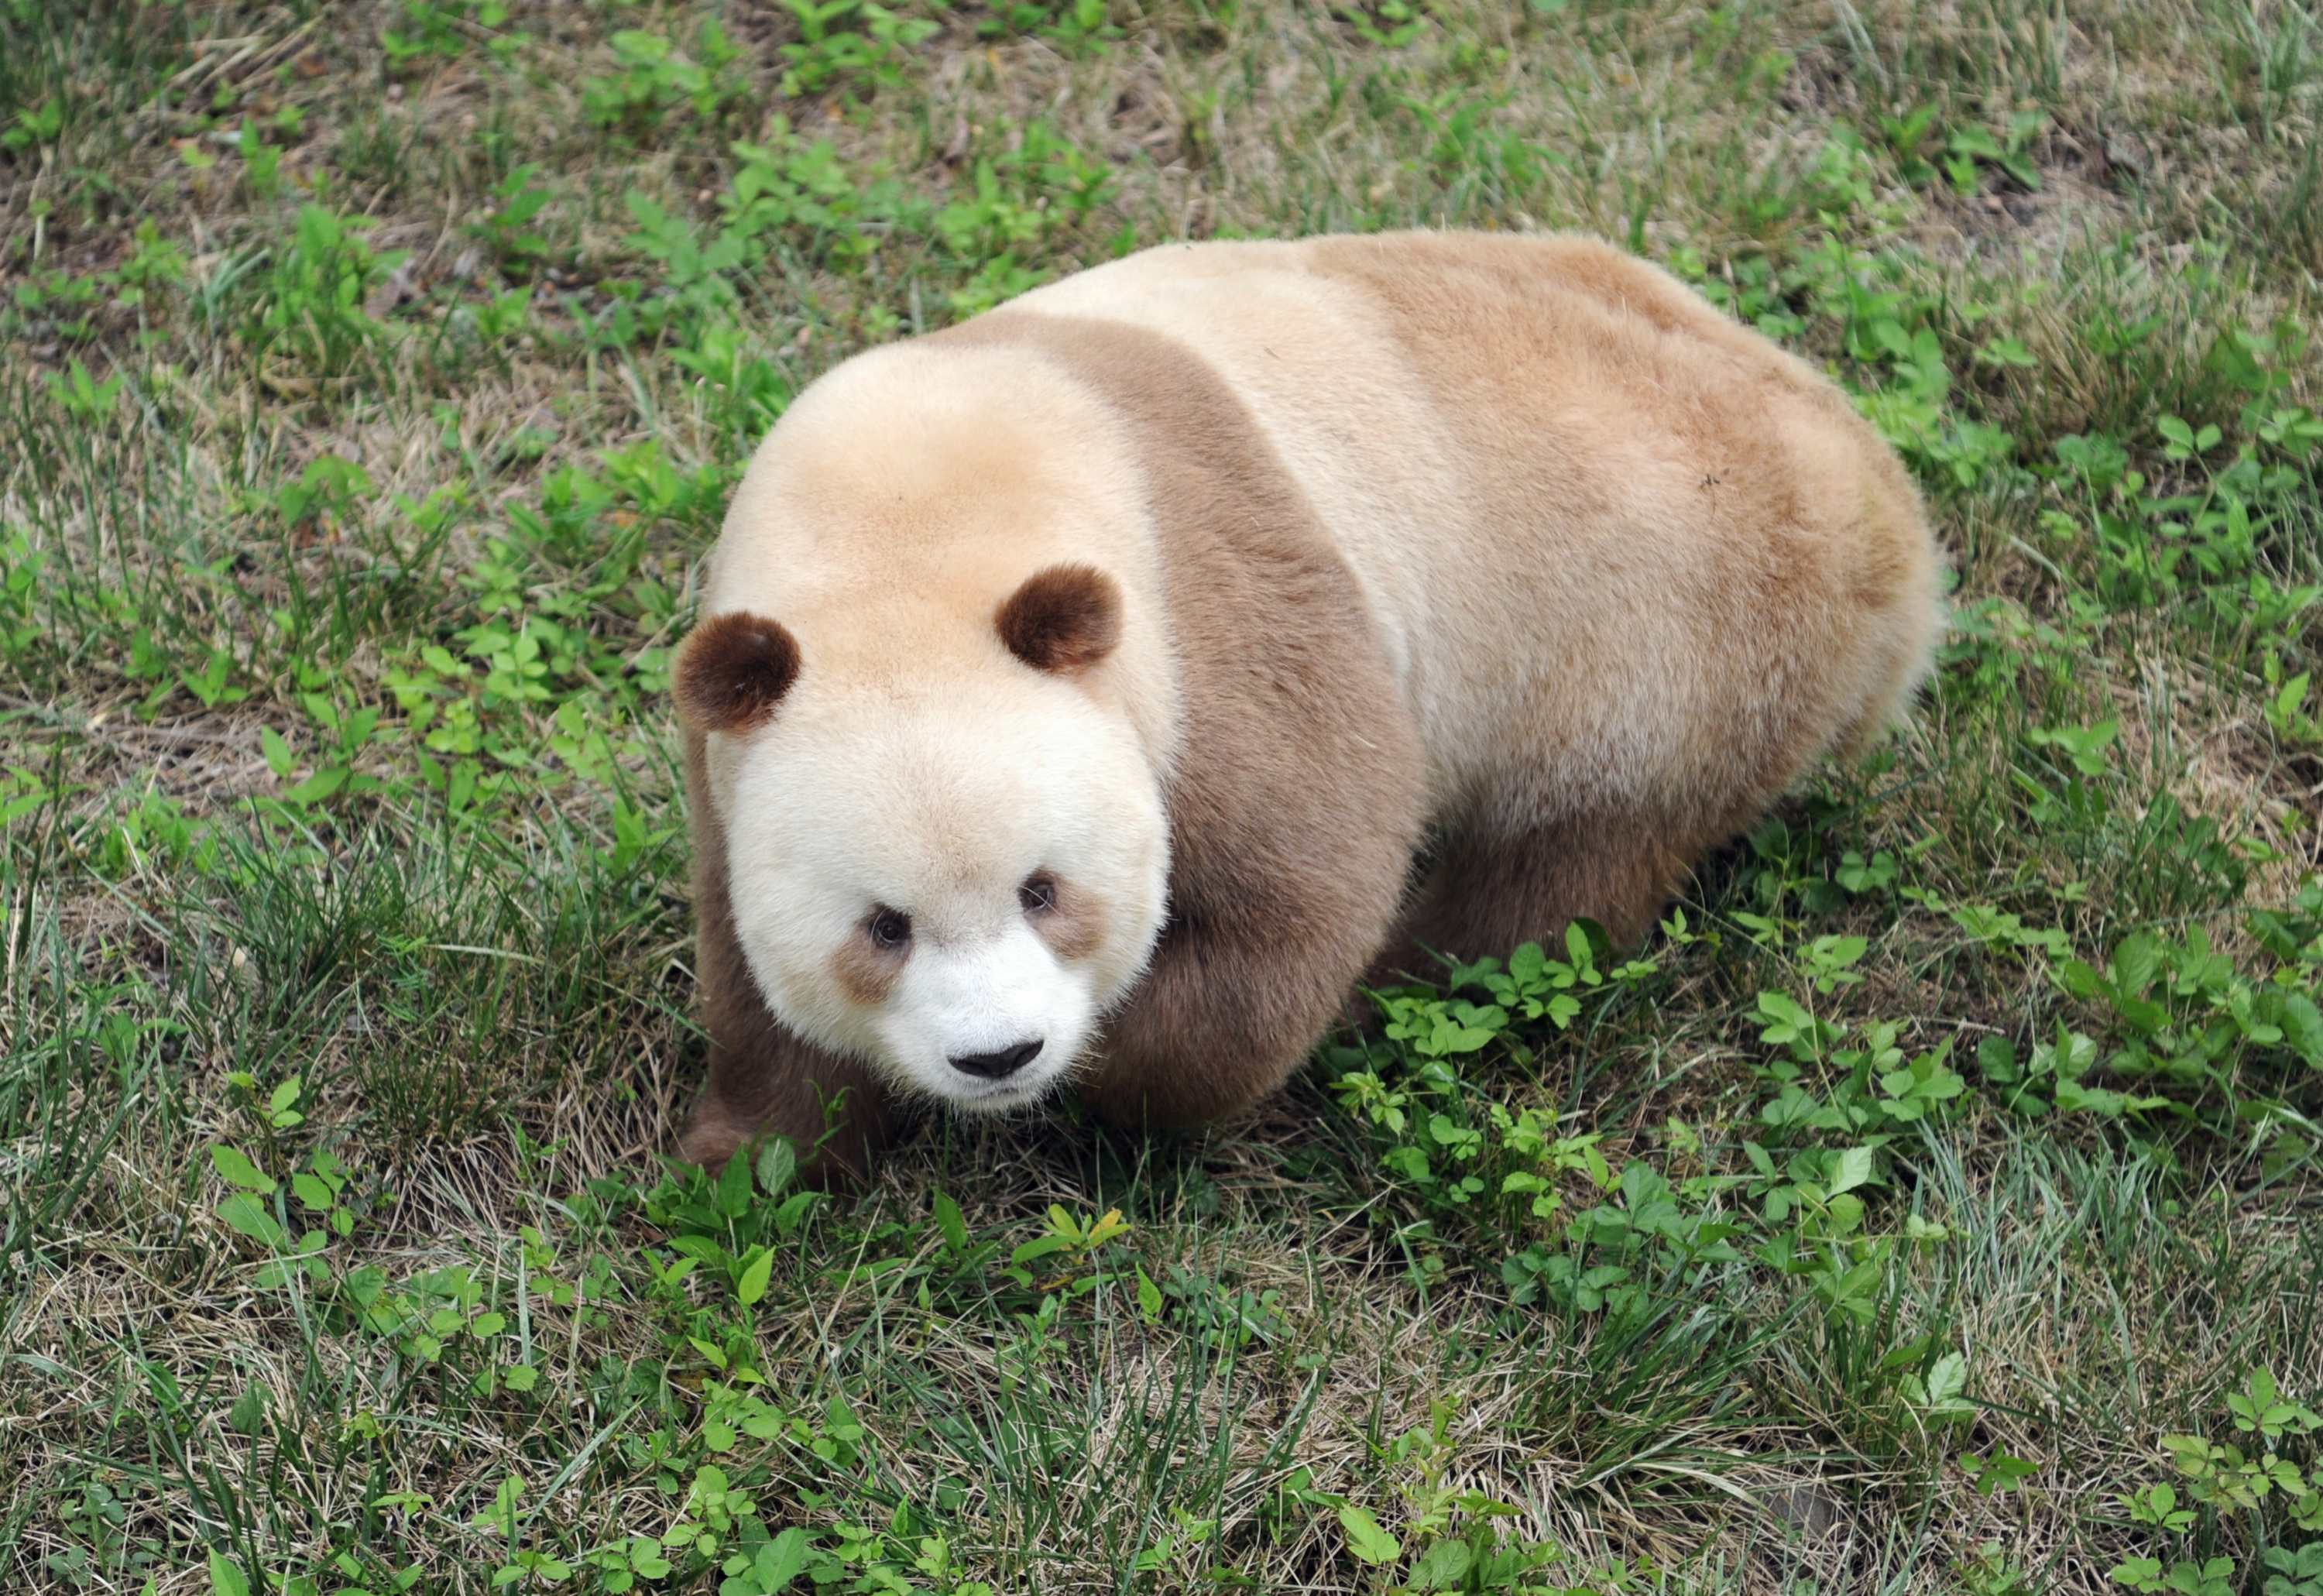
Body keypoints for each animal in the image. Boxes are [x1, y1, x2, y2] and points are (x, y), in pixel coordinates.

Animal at [670, 231, 1944, 1177]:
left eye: (1044, 889)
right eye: (883, 926)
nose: (1002, 1058)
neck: (908, 528)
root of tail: (1891, 523)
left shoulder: (1205, 613)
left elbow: (1303, 880)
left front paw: (1115, 1069)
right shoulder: (731, 739)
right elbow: (744, 959)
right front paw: (748, 1157)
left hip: (1667, 644)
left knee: (1558, 876)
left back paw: (1403, 983)